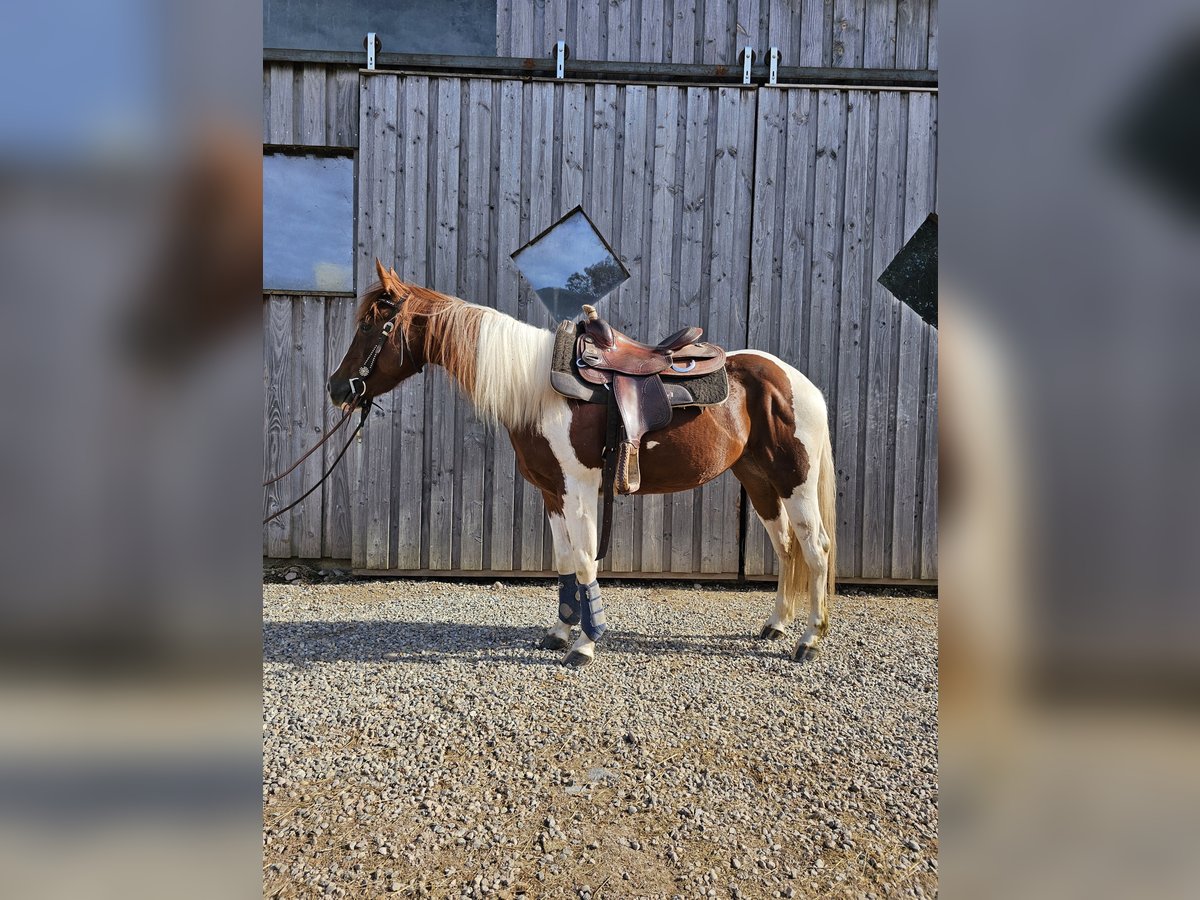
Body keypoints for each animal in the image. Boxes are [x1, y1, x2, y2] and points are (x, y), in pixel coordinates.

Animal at [328, 262, 835, 672]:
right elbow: (566, 562)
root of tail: (799, 381)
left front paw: (585, 647)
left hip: (795, 479)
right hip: (760, 479)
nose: (337, 388)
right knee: (786, 547)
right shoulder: (551, 493)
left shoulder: (579, 490)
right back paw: (777, 624)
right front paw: (559, 633)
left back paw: (809, 640)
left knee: (816, 548)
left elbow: (588, 560)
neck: (536, 388)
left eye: (374, 325)